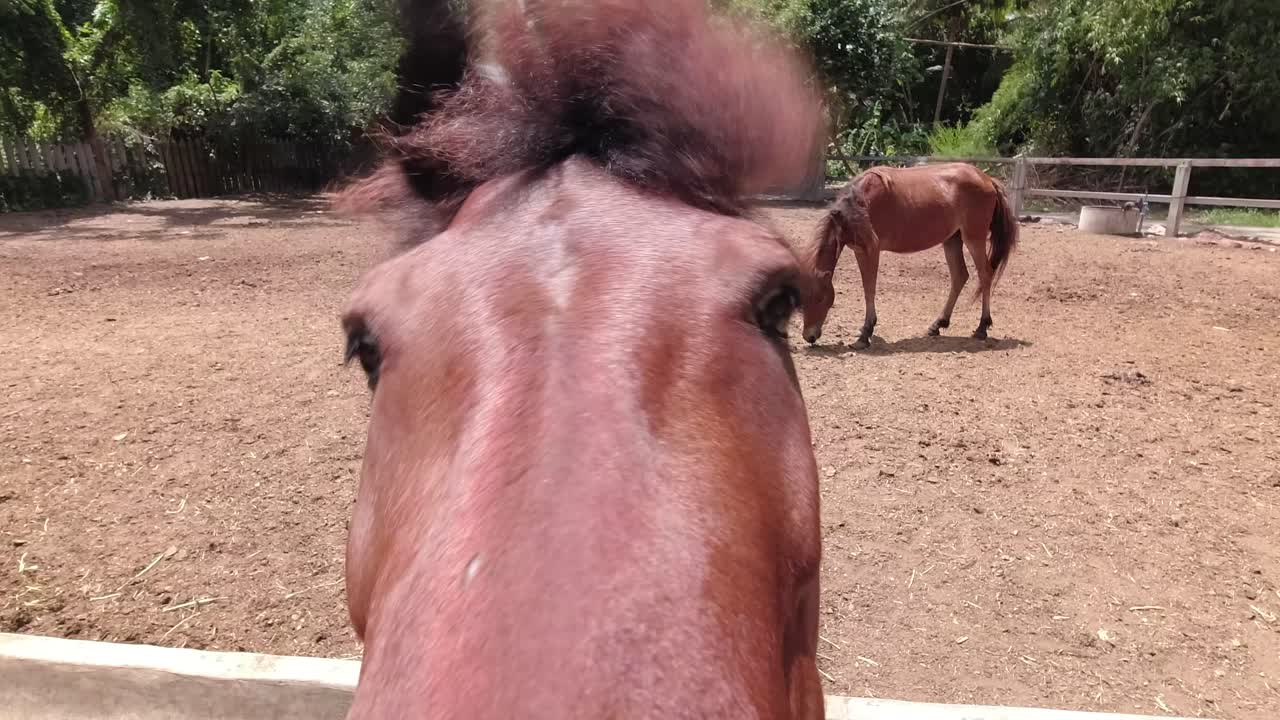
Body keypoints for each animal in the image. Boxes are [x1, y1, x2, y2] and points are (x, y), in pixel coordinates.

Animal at [799, 163, 1019, 349]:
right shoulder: (859, 250)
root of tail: (988, 179)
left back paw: (982, 327)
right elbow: (867, 287)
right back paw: (938, 324)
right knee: (960, 276)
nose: (809, 336)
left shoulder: (869, 250)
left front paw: (865, 334)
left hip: (974, 239)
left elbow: (869, 288)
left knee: (985, 275)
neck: (859, 203)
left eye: (819, 298)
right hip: (952, 240)